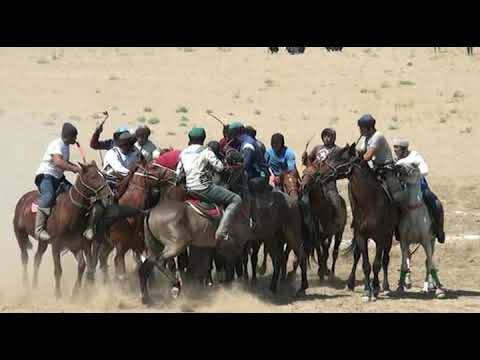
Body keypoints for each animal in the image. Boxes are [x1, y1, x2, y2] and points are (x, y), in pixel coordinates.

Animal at [12, 163, 113, 298]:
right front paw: (58, 294)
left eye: (102, 175)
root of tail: (23, 200)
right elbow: (58, 270)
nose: (109, 196)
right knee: (24, 257)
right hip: (20, 234)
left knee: (37, 259)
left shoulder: (76, 244)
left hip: (43, 242)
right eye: (93, 177)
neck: (71, 212)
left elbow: (82, 265)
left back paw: (35, 286)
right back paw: (26, 285)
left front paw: (75, 293)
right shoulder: (56, 245)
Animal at [328, 145, 400, 302]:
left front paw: (376, 288)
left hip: (388, 237)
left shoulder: (381, 238)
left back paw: (385, 286)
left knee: (385, 260)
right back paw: (351, 283)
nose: (319, 170)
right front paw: (367, 291)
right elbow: (366, 265)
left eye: (340, 158)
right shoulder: (361, 236)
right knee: (357, 255)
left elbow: (377, 264)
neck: (370, 202)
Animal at [396, 163, 444, 298]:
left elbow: (430, 264)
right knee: (409, 258)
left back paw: (429, 286)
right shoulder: (404, 241)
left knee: (428, 262)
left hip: (433, 242)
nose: (398, 167)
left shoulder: (426, 241)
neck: (414, 211)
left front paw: (439, 290)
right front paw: (400, 287)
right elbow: (403, 264)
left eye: (413, 165)